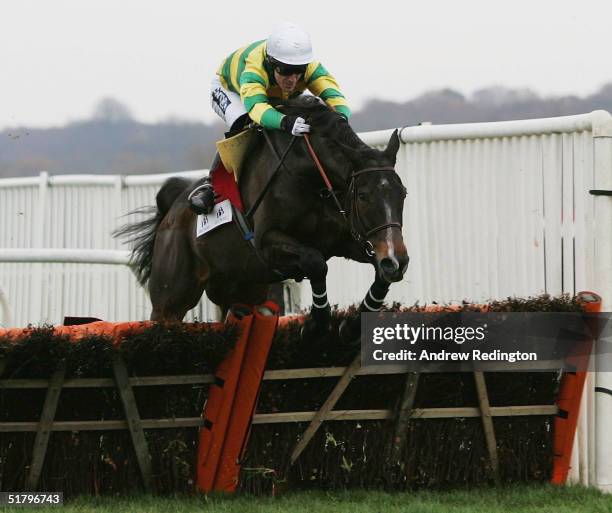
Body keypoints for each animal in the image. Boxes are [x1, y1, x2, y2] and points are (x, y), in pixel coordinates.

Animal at [117, 95, 408, 340]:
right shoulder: (266, 243)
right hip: (171, 298)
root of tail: (172, 210)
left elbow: (379, 271)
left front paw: (353, 323)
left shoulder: (347, 240)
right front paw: (317, 324)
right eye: (364, 196)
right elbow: (315, 261)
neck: (308, 174)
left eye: (402, 193)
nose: (397, 260)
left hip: (241, 289)